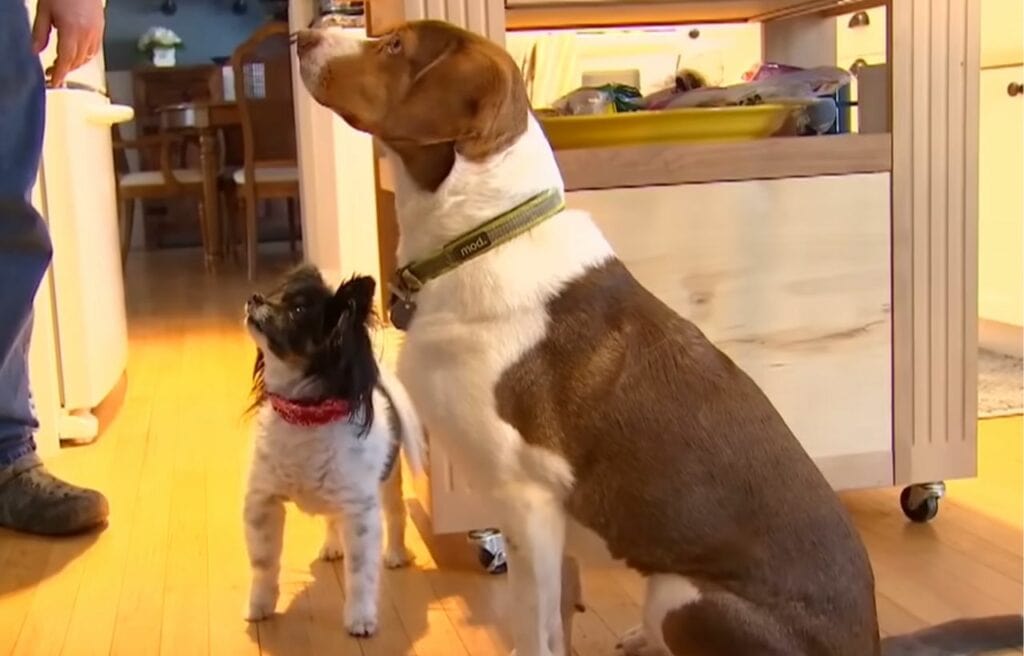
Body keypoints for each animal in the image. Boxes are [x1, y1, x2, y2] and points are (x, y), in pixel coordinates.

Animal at [242, 266, 423, 637]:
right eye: (276, 293)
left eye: (297, 310)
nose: (255, 297)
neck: (305, 415)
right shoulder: (263, 502)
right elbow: (264, 563)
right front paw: (260, 606)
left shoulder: (360, 513)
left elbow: (360, 573)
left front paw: (360, 618)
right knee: (330, 518)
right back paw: (332, 546)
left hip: (388, 482)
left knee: (397, 516)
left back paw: (396, 554)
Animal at [295, 20, 1024, 656]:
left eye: (393, 45)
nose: (301, 35)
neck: (481, 236)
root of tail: (870, 643)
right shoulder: (545, 525)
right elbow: (557, 620)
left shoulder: (526, 501)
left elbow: (536, 632)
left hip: (681, 595)